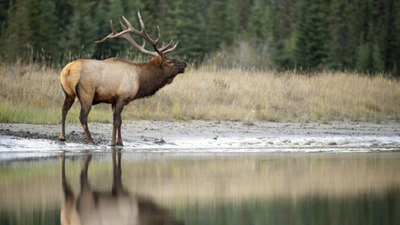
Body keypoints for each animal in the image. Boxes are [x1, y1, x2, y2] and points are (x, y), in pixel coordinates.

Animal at [59, 12, 188, 145]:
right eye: (169, 61)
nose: (185, 63)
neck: (140, 80)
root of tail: (68, 70)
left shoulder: (113, 100)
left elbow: (119, 121)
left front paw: (119, 142)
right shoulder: (122, 97)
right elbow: (116, 121)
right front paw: (113, 143)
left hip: (68, 93)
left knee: (63, 110)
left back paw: (62, 136)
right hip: (86, 93)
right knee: (82, 117)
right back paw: (90, 140)